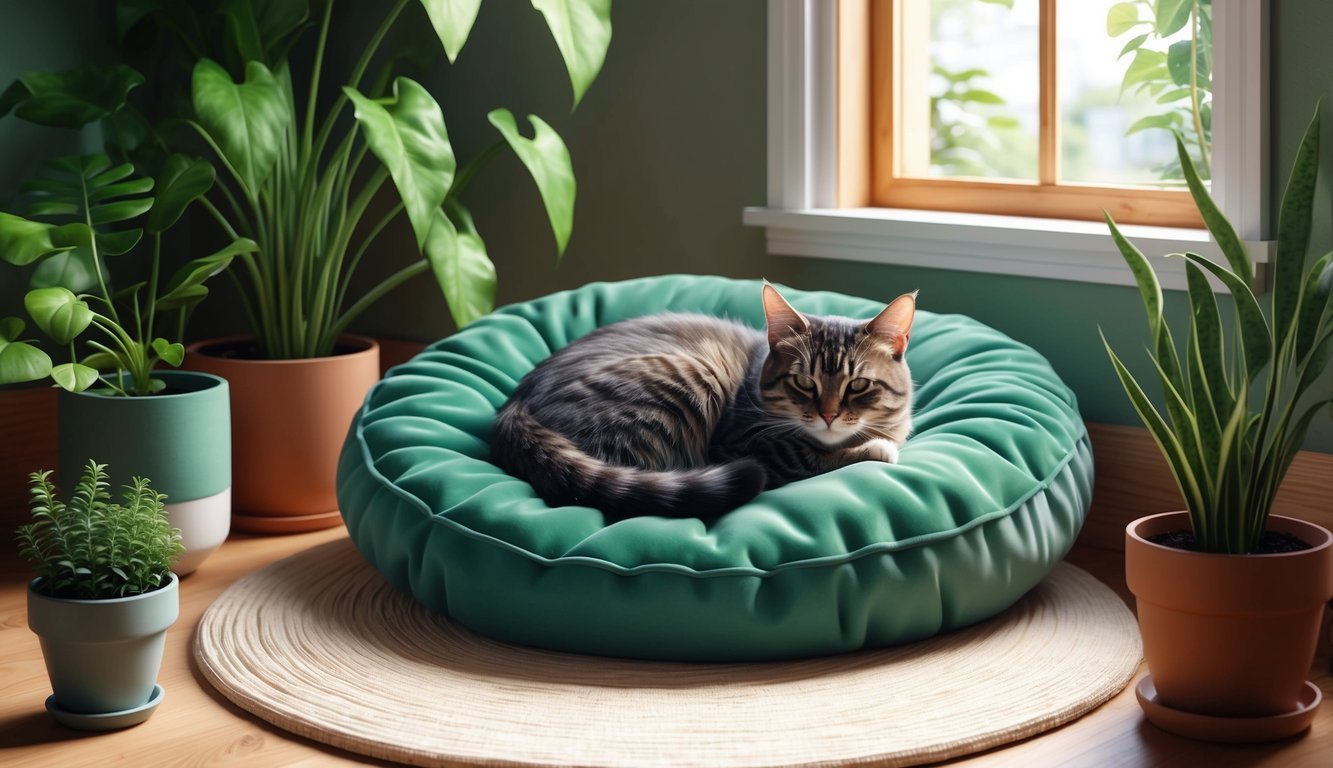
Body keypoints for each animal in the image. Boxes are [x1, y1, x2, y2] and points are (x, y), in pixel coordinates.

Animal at [490, 284, 917, 522]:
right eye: (802, 381)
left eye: (858, 384)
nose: (828, 415)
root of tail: (516, 406)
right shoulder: (744, 444)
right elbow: (809, 457)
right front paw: (873, 449)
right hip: (684, 378)